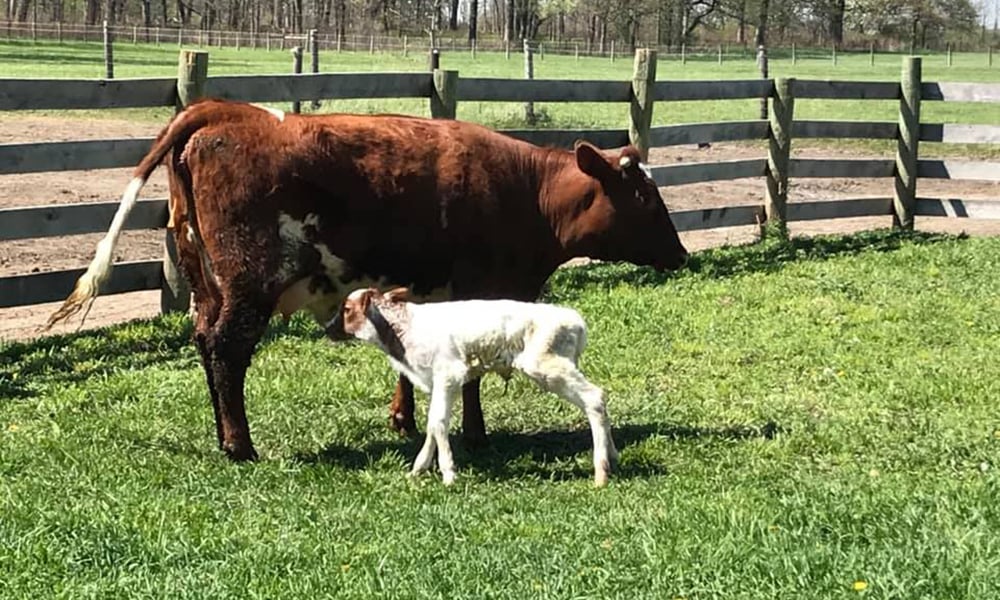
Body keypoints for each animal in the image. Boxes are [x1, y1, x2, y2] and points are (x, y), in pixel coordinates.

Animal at [48, 98, 688, 460]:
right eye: (645, 197)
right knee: (227, 349)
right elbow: (474, 376)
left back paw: (223, 435)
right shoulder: (480, 289)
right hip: (250, 281)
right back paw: (240, 445)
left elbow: (408, 361)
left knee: (205, 343)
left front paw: (405, 420)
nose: (681, 254)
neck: (525, 191)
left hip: (206, 283)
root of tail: (226, 111)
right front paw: (476, 433)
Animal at [328, 288, 616, 488]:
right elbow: (432, 422)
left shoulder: (449, 374)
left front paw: (448, 474)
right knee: (597, 401)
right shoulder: (439, 381)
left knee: (594, 398)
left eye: (346, 309)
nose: (328, 327)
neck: (402, 332)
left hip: (547, 366)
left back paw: (601, 473)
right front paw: (418, 469)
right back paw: (612, 458)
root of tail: (575, 321)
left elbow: (438, 422)